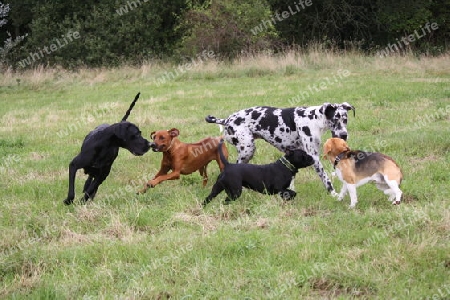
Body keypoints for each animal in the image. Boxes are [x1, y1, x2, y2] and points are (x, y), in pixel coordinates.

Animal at [205, 103, 356, 195]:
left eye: (345, 119)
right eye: (335, 119)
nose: (344, 135)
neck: (314, 119)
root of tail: (226, 120)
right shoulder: (314, 157)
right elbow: (326, 179)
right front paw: (334, 194)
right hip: (247, 149)